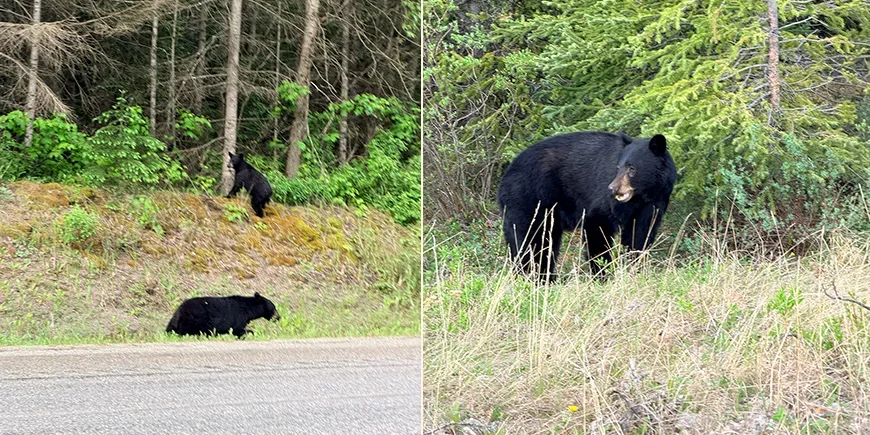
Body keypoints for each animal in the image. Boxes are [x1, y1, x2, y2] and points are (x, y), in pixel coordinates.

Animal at [497, 131, 677, 281]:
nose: (612, 188)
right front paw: (603, 274)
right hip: (529, 198)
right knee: (530, 239)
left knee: (546, 243)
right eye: (618, 168)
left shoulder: (655, 202)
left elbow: (640, 234)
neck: (641, 196)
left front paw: (635, 269)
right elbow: (597, 225)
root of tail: (506, 176)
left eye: (632, 168)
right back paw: (534, 278)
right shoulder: (604, 202)